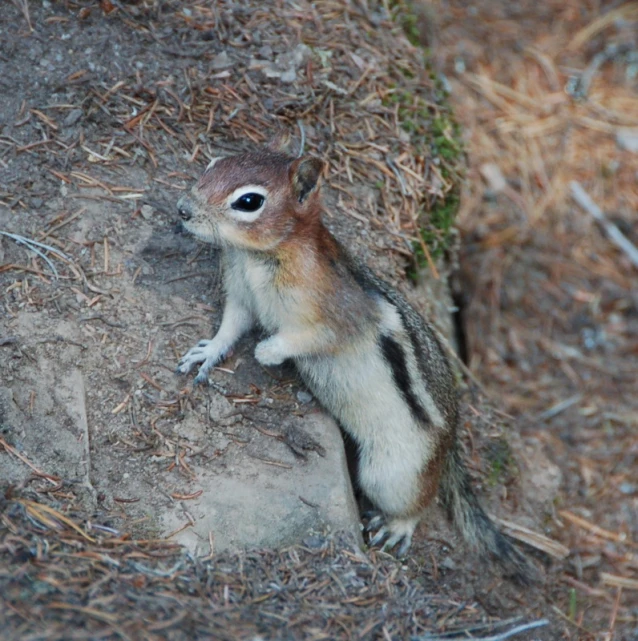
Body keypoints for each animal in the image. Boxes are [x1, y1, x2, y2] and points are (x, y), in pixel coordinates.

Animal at [174, 145, 536, 580]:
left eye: (248, 202)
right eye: (212, 166)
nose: (182, 210)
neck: (258, 258)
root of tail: (450, 443)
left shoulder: (341, 316)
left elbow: (309, 337)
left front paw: (268, 351)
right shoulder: (242, 294)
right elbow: (231, 326)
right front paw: (207, 352)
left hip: (391, 472)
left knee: (420, 500)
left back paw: (398, 526)